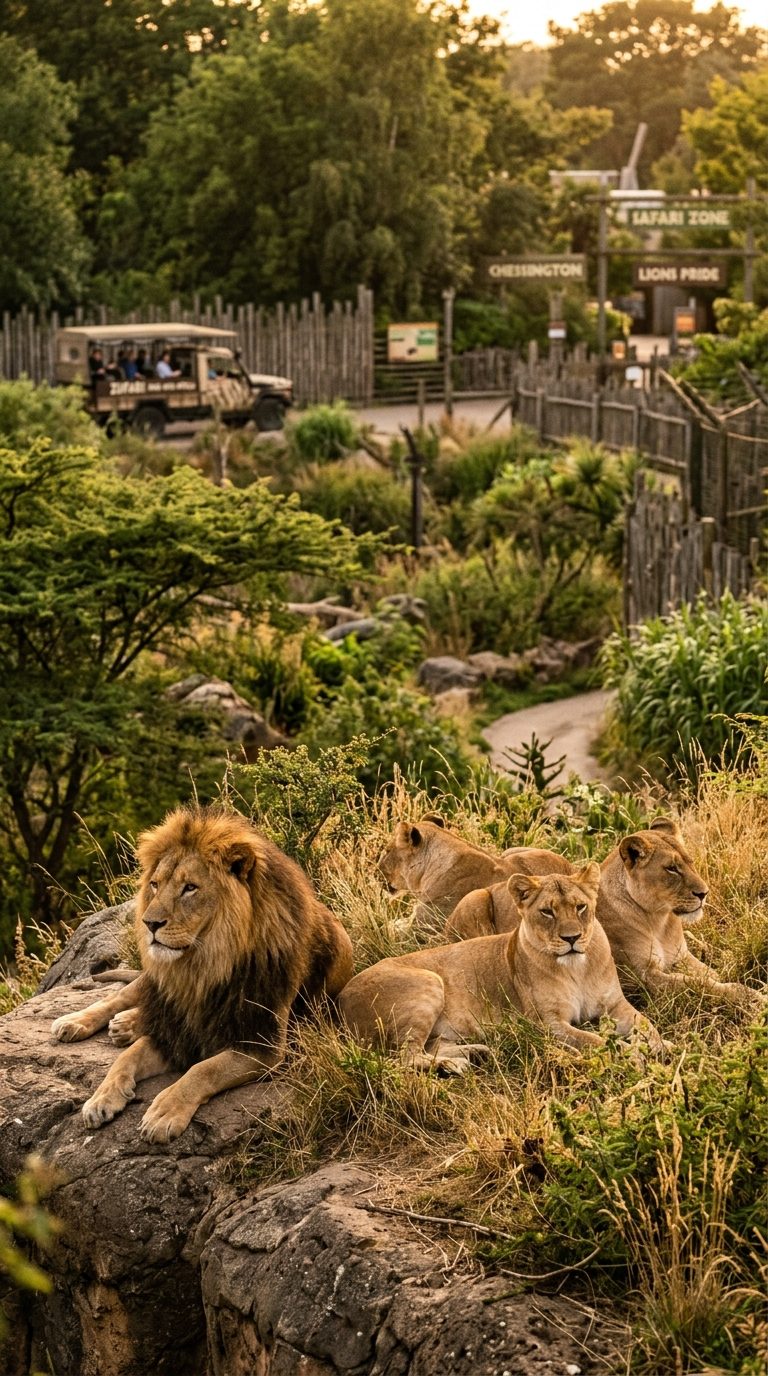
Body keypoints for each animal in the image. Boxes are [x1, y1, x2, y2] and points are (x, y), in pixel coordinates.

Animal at [51, 807, 354, 1143]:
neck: (203, 968)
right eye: (155, 885)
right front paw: (100, 1099)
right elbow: (127, 1057)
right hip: (153, 979)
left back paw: (126, 1025)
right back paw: (79, 1022)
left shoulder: (264, 1046)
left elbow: (204, 1069)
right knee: (120, 996)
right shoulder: (175, 1031)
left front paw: (164, 1112)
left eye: (190, 888)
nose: (148, 923)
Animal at [340, 863, 664, 1067]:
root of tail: (339, 999)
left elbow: (648, 1025)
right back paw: (454, 1065)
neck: (577, 968)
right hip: (428, 982)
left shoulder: (614, 1005)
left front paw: (663, 1049)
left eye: (580, 907)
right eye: (547, 912)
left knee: (430, 1047)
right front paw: (632, 1055)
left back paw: (475, 1055)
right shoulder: (547, 1024)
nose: (571, 938)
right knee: (405, 1058)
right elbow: (594, 1040)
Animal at [597, 817, 762, 1007]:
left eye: (691, 862)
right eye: (672, 868)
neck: (658, 921)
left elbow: (710, 973)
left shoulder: (681, 956)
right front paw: (750, 996)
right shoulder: (644, 979)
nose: (704, 893)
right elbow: (699, 983)